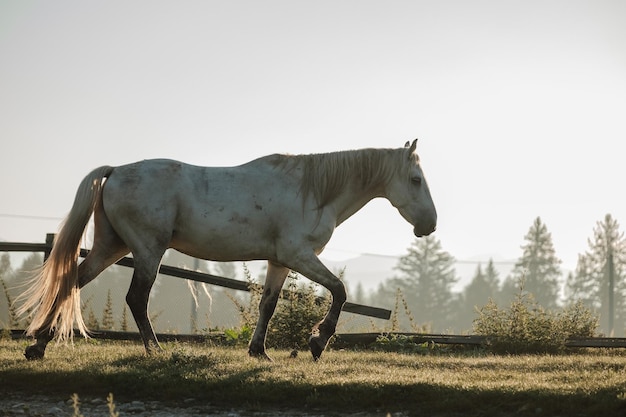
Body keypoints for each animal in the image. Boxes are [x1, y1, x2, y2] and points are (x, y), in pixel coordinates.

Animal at [20, 138, 438, 360]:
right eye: (416, 180)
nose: (429, 225)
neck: (312, 191)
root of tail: (117, 170)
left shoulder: (279, 261)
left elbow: (268, 304)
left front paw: (259, 351)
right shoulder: (299, 256)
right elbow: (339, 290)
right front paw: (318, 342)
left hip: (112, 247)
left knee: (72, 281)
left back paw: (39, 345)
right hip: (147, 252)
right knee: (135, 299)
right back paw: (155, 350)